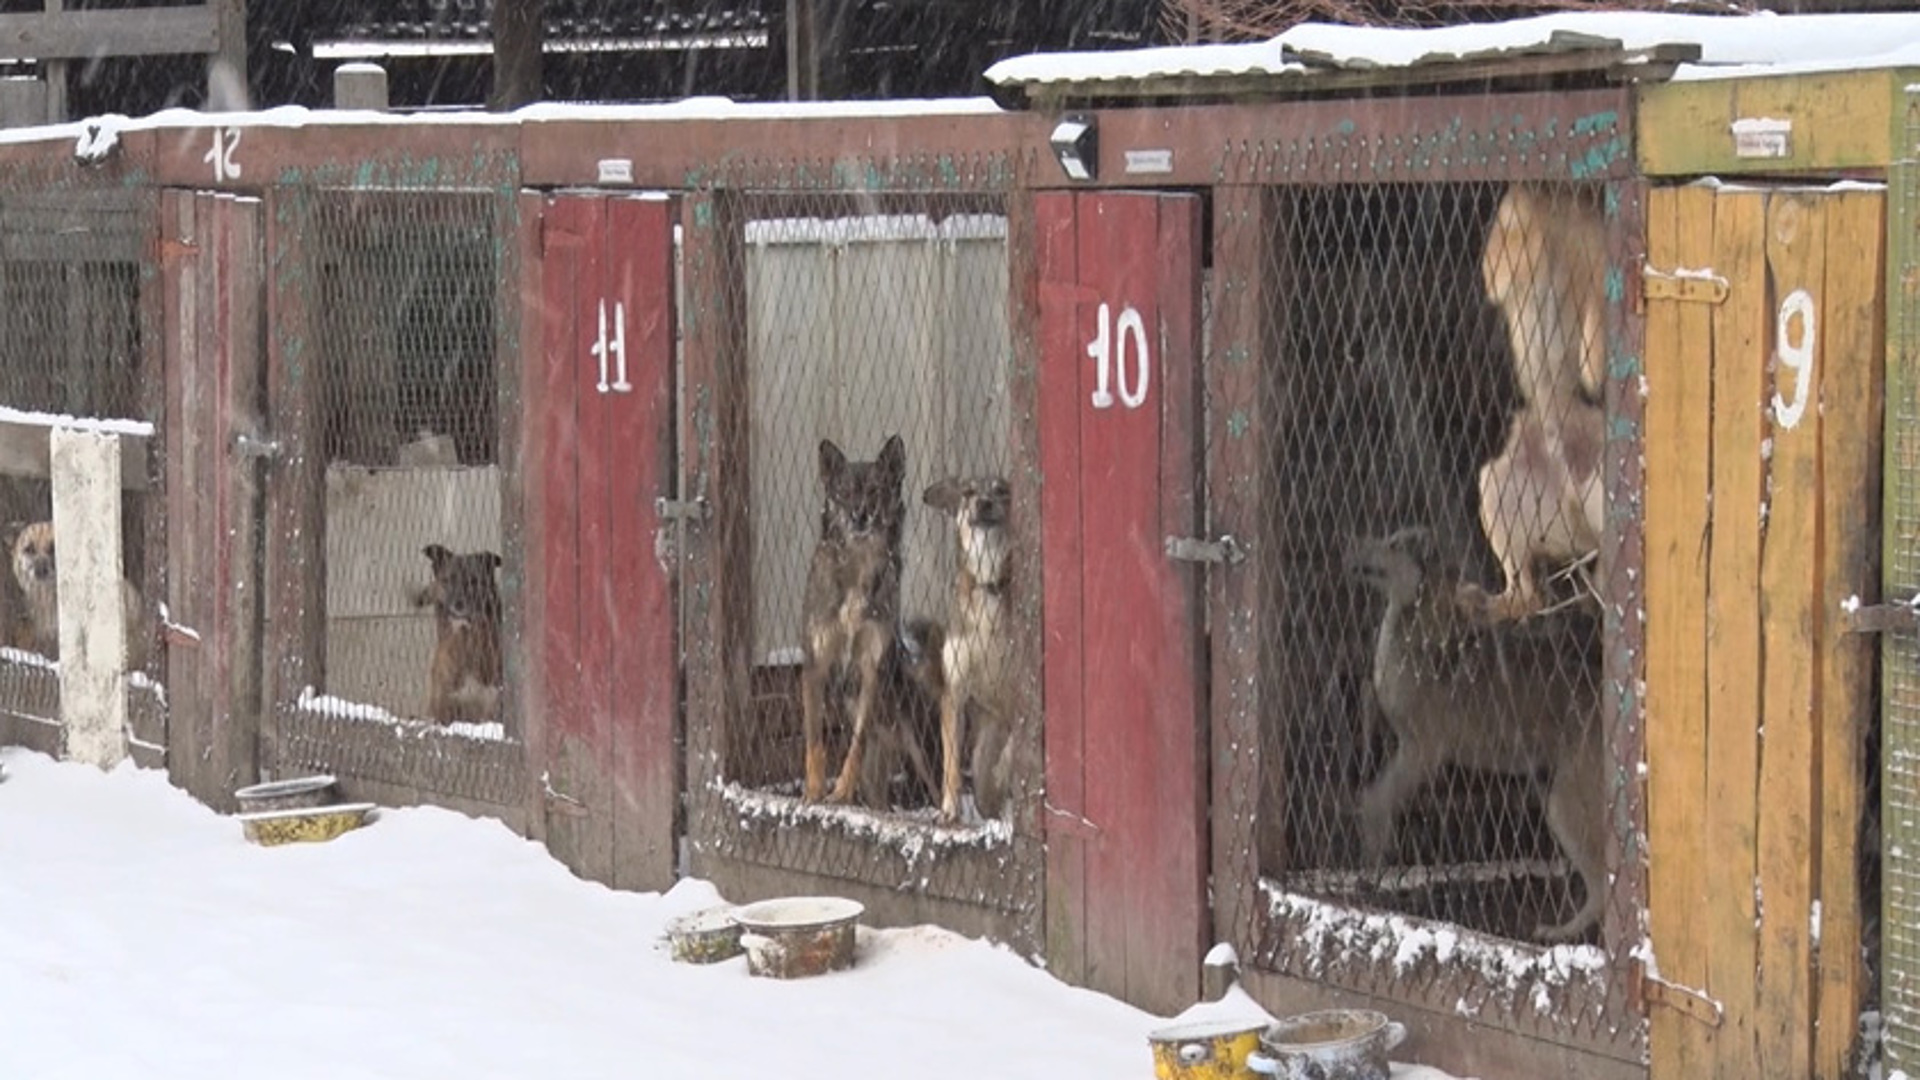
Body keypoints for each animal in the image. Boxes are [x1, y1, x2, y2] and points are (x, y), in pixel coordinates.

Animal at [798, 430, 910, 799]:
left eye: (875, 490)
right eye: (844, 492)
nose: (859, 516)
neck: (858, 564)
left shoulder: (870, 668)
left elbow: (857, 742)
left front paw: (843, 792)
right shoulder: (815, 664)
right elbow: (815, 739)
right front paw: (813, 791)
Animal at [917, 474, 1013, 818]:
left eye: (1002, 491)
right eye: (969, 492)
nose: (983, 503)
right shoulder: (954, 692)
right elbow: (951, 764)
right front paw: (949, 809)